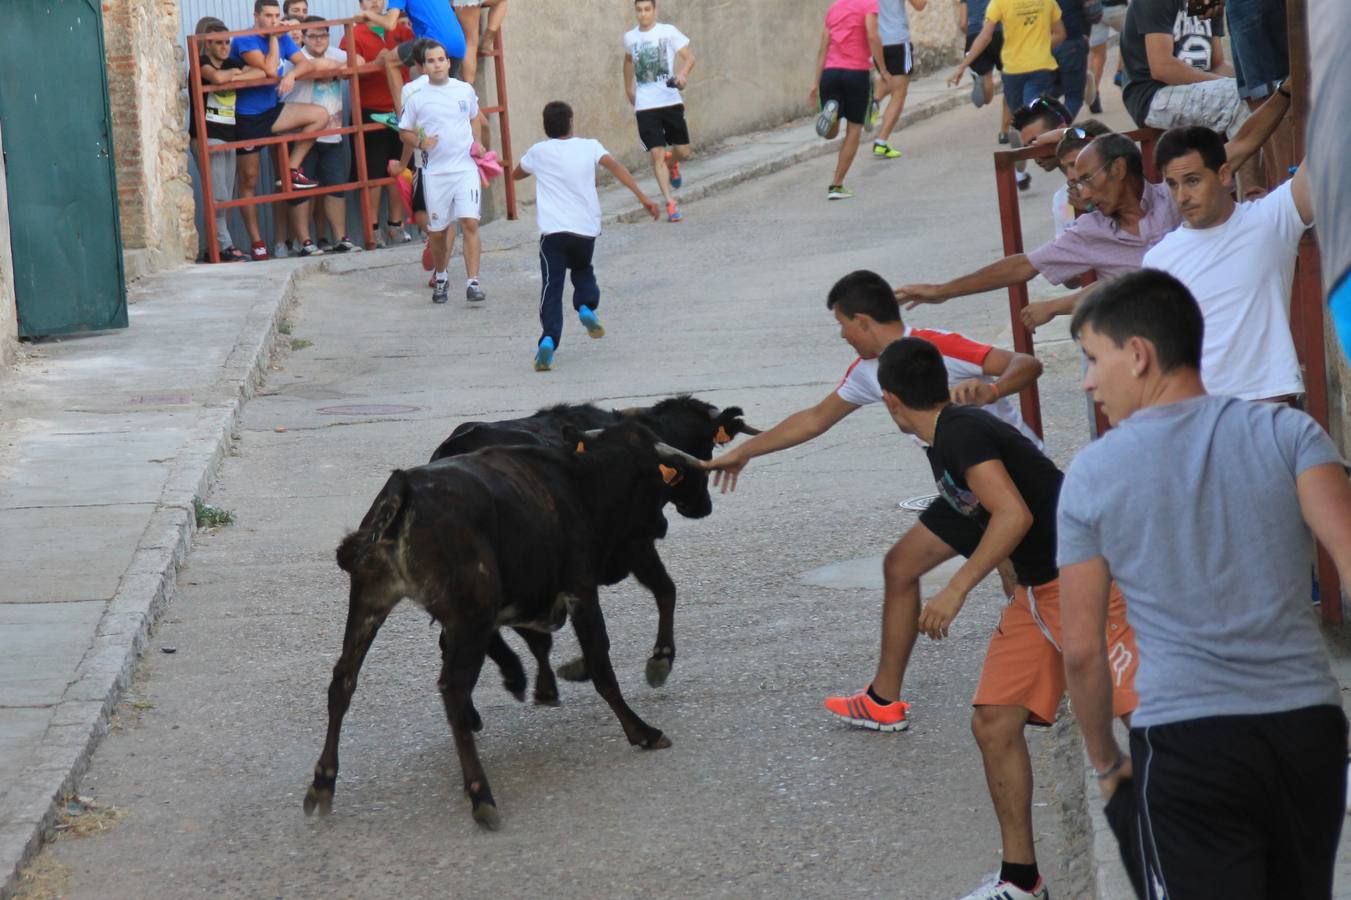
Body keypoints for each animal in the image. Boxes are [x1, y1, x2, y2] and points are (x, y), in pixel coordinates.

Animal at [301, 421, 713, 827]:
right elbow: (600, 663)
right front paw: (641, 731)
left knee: (343, 681)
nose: (664, 523)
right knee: (453, 688)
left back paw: (323, 782)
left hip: (370, 600)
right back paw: (481, 793)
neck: (581, 482)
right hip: (470, 615)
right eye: (658, 482)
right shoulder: (580, 588)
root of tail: (406, 488)